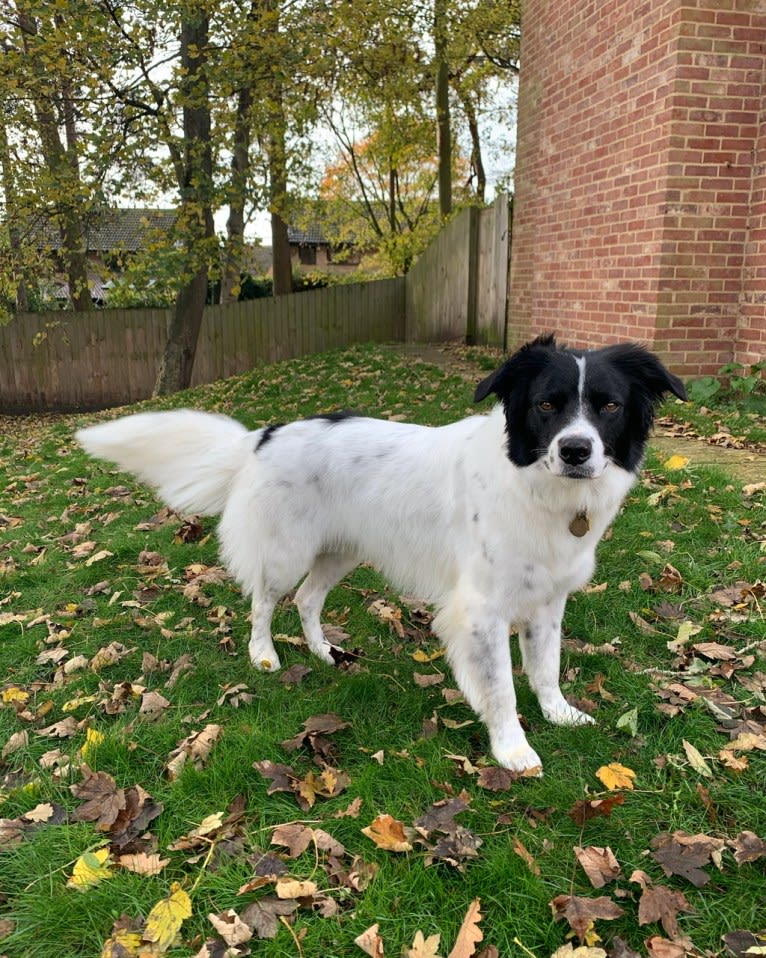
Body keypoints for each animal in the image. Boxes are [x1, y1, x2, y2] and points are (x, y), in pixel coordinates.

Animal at [75, 336, 688, 772]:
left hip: (340, 552)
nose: (576, 449)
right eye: (546, 405)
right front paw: (512, 748)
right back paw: (264, 656)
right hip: (287, 552)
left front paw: (558, 713)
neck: (536, 485)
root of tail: (265, 434)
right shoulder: (482, 610)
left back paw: (324, 653)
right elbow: (501, 686)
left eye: (609, 406)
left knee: (307, 601)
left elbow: (545, 668)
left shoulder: (546, 601)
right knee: (264, 602)